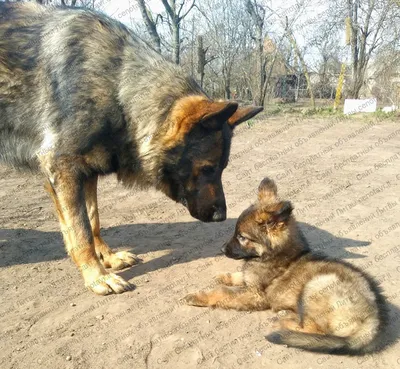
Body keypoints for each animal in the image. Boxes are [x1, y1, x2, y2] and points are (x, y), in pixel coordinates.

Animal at [0, 2, 262, 294]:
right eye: (208, 168)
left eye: (222, 168)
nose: (221, 216)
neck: (118, 88)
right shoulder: (63, 169)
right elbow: (81, 230)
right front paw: (97, 276)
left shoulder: (86, 172)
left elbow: (93, 220)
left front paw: (107, 258)